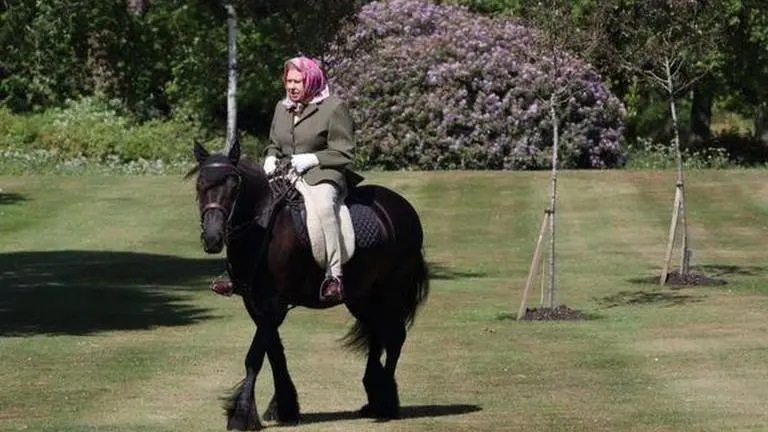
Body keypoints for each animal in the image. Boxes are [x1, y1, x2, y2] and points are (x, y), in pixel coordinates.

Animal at [187, 139, 430, 431]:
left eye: (234, 186)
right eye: (200, 184)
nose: (212, 239)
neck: (262, 227)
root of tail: (403, 208)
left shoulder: (275, 304)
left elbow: (255, 356)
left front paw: (241, 414)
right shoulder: (255, 303)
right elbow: (274, 352)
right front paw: (284, 407)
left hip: (391, 290)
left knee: (394, 337)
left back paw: (386, 403)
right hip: (361, 296)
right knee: (377, 334)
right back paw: (374, 397)